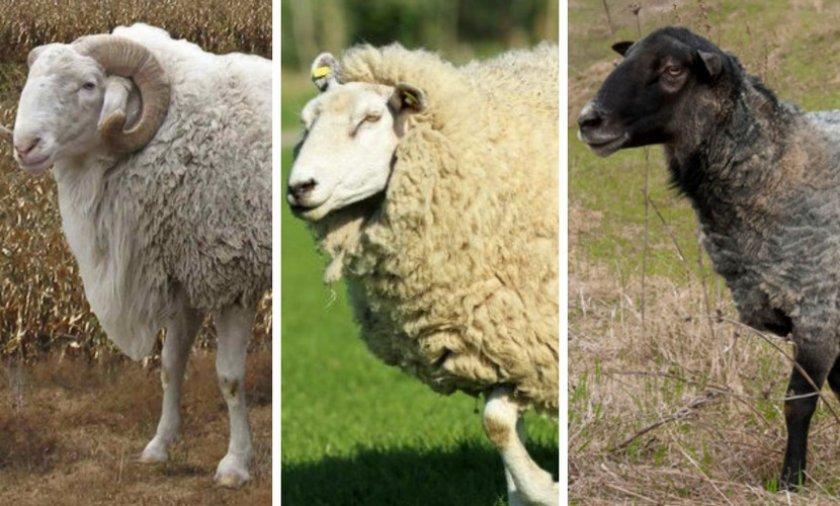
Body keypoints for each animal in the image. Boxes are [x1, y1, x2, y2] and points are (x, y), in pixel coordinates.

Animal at [12, 23, 270, 488]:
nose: (24, 146)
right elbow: (170, 364)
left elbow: (229, 377)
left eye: (89, 85)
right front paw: (159, 446)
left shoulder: (234, 279)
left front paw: (235, 464)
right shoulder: (184, 277)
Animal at [287, 43, 559, 505]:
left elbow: (498, 423)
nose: (298, 188)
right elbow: (499, 425)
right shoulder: (502, 347)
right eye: (307, 122)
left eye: (370, 119)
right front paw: (530, 490)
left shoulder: (533, 343)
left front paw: (546, 488)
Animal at [578, 26, 840, 490]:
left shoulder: (819, 311)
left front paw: (790, 483)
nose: (588, 121)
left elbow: (798, 403)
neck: (778, 166)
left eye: (673, 69)